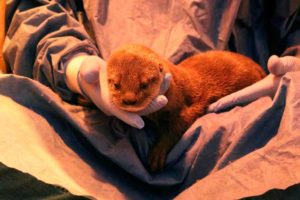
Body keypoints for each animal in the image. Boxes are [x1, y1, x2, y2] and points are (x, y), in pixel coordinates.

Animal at [106, 44, 264, 172]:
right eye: (116, 84)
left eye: (144, 84)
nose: (129, 100)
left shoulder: (181, 108)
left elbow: (175, 129)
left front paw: (158, 153)